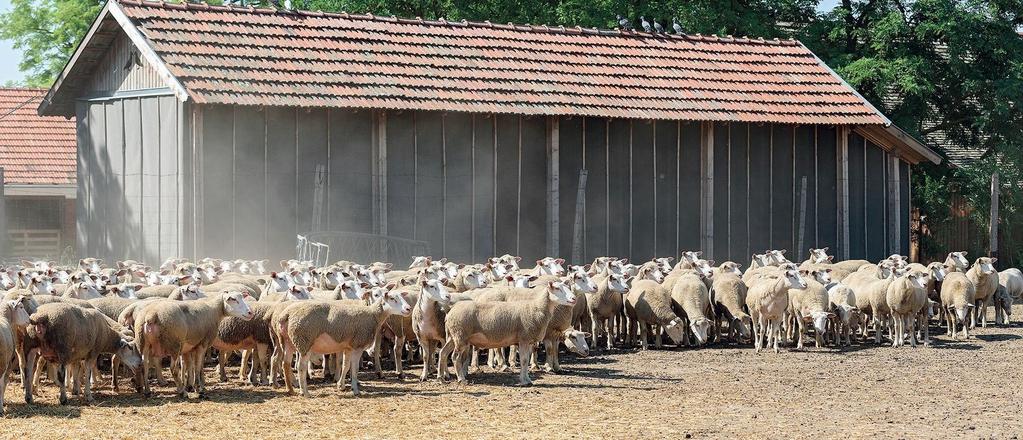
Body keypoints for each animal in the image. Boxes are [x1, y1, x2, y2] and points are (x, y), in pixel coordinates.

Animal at [278, 284, 413, 394]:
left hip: (288, 341)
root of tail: (287, 315)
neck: (372, 315)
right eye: (392, 299)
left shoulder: (349, 347)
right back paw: (304, 392)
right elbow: (355, 368)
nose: (409, 309)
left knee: (285, 363)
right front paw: (355, 389)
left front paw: (341, 385)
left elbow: (345, 366)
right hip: (304, 342)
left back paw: (290, 390)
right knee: (301, 367)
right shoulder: (358, 345)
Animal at [443, 280, 581, 386]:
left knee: (444, 352)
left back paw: (442, 376)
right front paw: (525, 381)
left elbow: (526, 360)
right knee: (455, 357)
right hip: (460, 336)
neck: (537, 308)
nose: (574, 299)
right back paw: (461, 379)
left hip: (453, 336)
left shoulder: (528, 341)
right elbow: (524, 360)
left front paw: (527, 379)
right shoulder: (524, 338)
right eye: (557, 288)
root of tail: (450, 312)